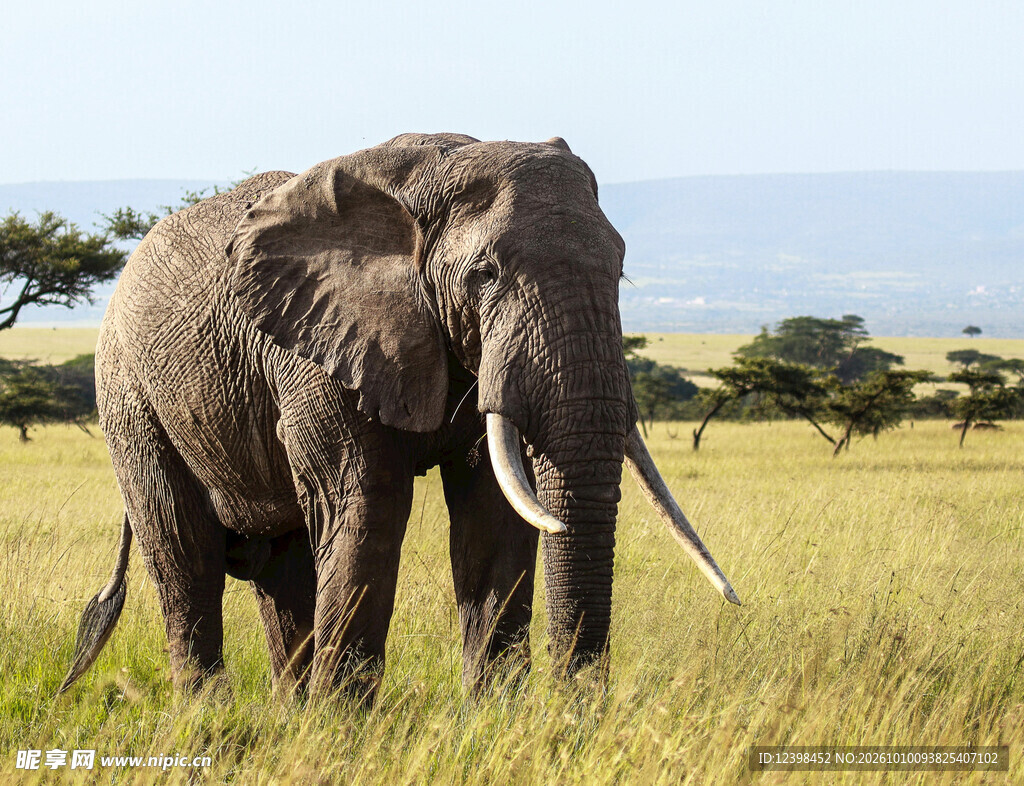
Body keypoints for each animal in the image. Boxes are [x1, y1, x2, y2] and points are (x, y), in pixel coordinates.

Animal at [60, 133, 738, 700]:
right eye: (485, 274)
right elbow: (367, 507)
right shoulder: (321, 351)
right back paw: (212, 720)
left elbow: (492, 516)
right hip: (129, 399)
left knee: (280, 568)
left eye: (620, 269)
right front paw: (341, 734)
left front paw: (494, 722)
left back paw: (288, 716)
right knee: (184, 556)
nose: (576, 716)